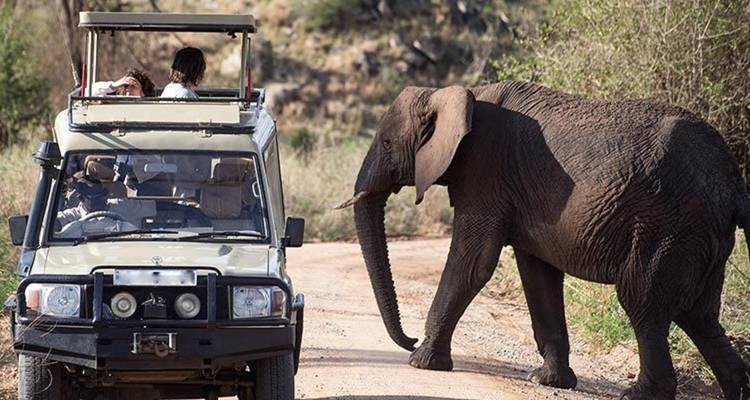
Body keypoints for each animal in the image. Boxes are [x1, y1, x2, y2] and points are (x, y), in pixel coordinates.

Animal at [336, 81, 750, 400]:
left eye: (386, 143)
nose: (408, 339)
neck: (455, 92)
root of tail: (733, 183)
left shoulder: (485, 170)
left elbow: (474, 262)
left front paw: (421, 362)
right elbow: (538, 274)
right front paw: (548, 381)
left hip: (668, 223)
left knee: (643, 299)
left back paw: (638, 394)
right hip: (699, 233)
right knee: (698, 314)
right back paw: (736, 390)